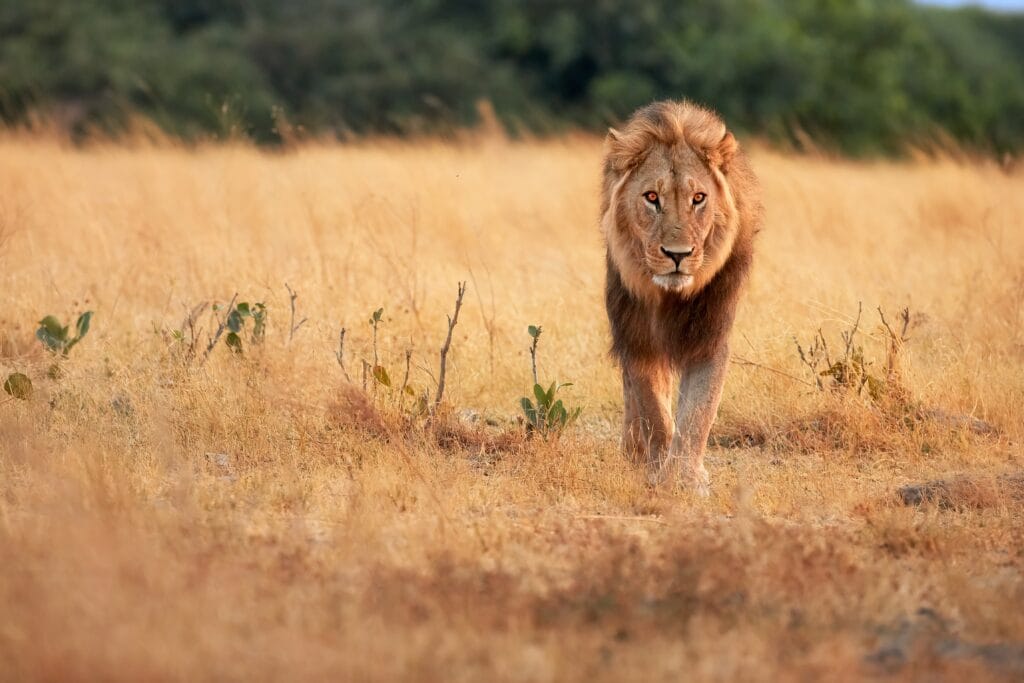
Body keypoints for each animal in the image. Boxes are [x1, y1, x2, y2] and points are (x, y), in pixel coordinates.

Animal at [601, 100, 763, 495]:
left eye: (698, 198)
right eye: (652, 198)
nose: (678, 255)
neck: (669, 296)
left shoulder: (709, 335)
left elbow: (698, 413)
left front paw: (688, 478)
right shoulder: (636, 335)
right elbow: (652, 408)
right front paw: (659, 469)